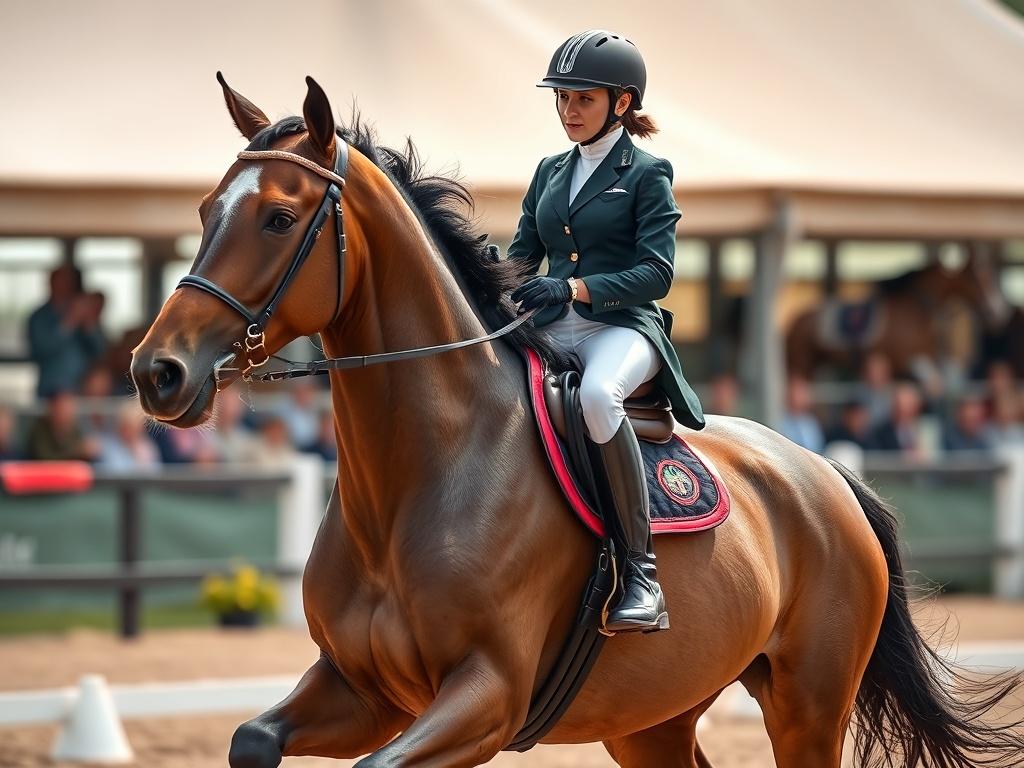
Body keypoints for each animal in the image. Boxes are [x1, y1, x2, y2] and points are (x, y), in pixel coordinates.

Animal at [130, 75, 1024, 768]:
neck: (419, 473)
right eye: (207, 211)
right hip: (652, 717)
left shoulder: (486, 697)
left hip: (808, 703)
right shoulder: (363, 688)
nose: (156, 372)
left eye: (279, 219)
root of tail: (824, 476)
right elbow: (251, 738)